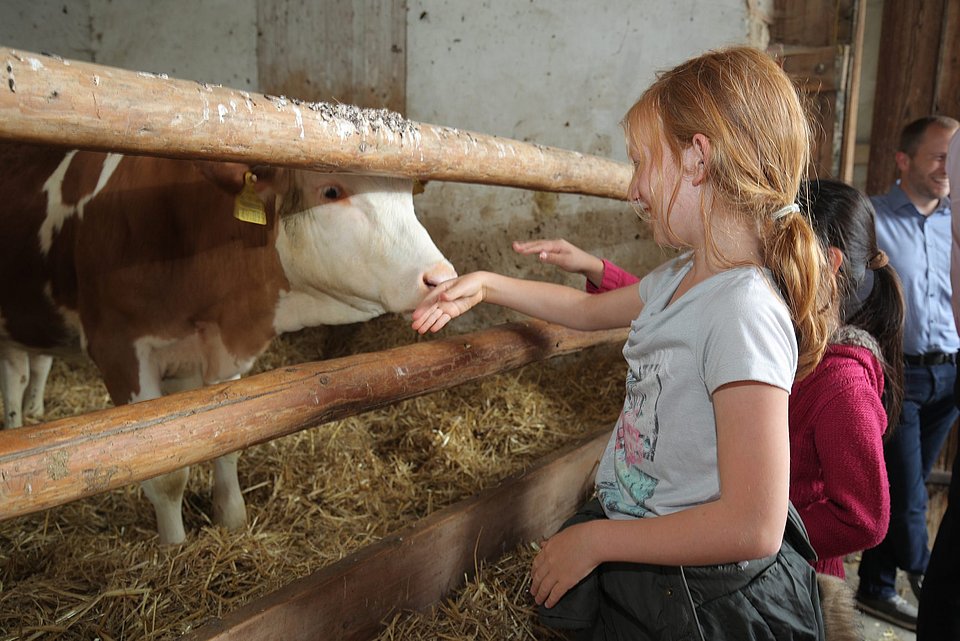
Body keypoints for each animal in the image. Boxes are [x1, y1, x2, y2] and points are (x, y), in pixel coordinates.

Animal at [0, 142, 458, 544]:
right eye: (331, 190)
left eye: (408, 196)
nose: (441, 278)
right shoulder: (117, 347)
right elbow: (165, 471)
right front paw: (174, 548)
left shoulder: (219, 352)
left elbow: (229, 435)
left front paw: (232, 520)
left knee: (27, 368)